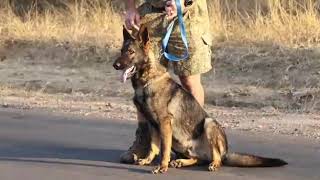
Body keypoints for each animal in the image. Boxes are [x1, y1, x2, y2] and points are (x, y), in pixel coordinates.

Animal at [113, 26, 288, 174]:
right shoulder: (153, 124)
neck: (147, 81)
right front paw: (147, 160)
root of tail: (226, 153)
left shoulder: (164, 124)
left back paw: (213, 164)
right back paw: (182, 162)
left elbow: (164, 150)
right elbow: (154, 147)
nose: (115, 65)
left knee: (216, 156)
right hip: (180, 143)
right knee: (197, 159)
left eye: (131, 52)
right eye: (121, 50)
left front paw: (162, 167)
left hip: (208, 124)